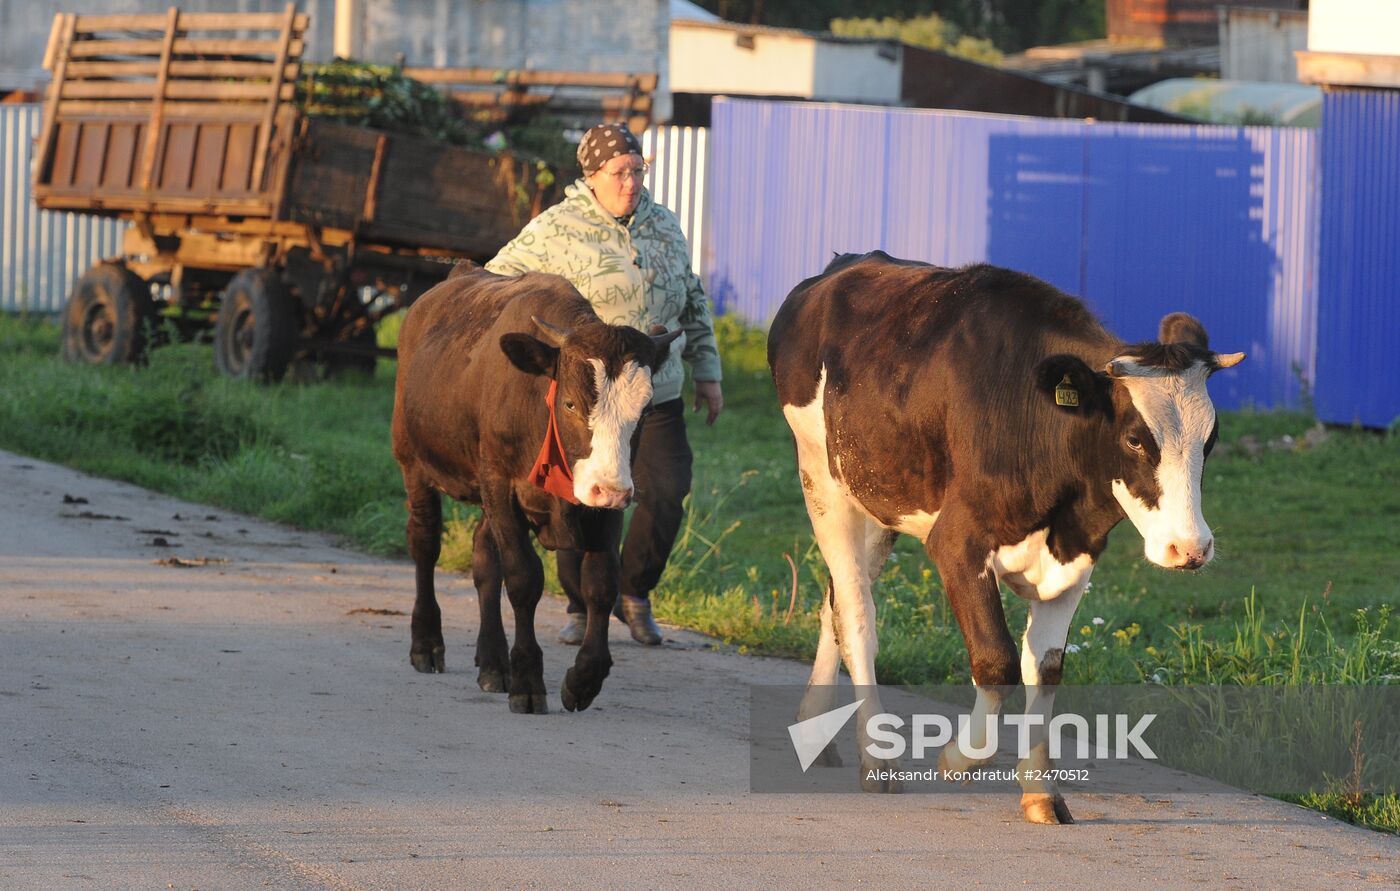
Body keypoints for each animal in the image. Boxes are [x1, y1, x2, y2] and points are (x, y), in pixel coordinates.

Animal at [394, 266, 677, 717]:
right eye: (571, 404)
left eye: (646, 410)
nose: (611, 488)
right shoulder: (500, 484)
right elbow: (523, 579)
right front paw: (528, 679)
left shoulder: (603, 506)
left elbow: (601, 584)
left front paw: (583, 679)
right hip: (414, 462)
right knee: (424, 544)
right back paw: (427, 641)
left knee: (483, 557)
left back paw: (493, 661)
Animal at [767, 250, 1248, 823]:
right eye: (1135, 439)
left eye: (1210, 440)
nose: (1191, 548)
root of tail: (844, 267)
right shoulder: (956, 542)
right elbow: (996, 659)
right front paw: (960, 757)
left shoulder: (1079, 556)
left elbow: (1046, 668)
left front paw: (1041, 789)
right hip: (821, 479)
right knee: (858, 617)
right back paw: (877, 760)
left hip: (878, 501)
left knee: (836, 602)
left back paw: (815, 729)